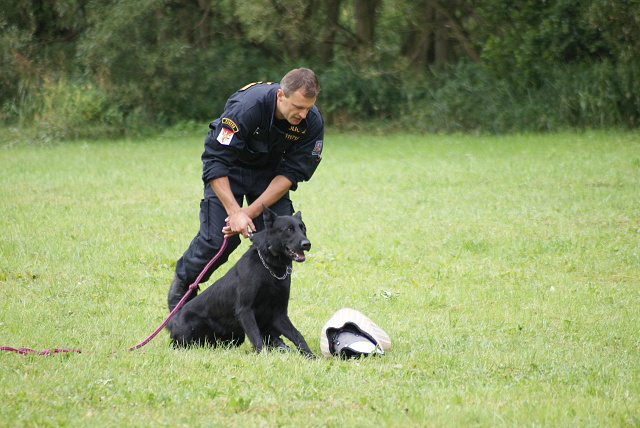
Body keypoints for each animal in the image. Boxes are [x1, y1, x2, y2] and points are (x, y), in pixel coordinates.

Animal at [167, 205, 315, 358]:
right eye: (289, 229)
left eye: (303, 228)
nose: (307, 244)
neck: (269, 268)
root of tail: (174, 322)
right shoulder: (245, 310)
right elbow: (256, 337)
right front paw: (264, 357)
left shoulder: (279, 314)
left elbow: (297, 336)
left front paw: (311, 356)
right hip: (192, 326)